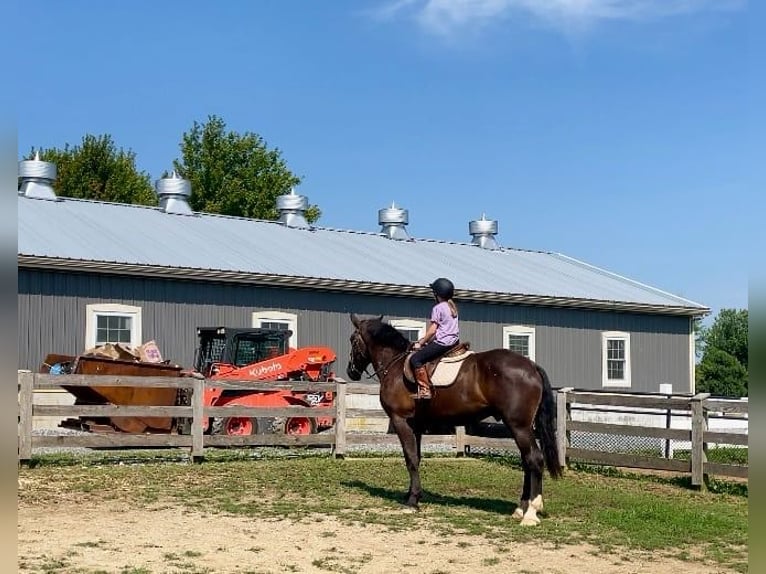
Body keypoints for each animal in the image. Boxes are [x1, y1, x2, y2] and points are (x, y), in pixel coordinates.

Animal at [348, 316, 564, 528]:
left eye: (352, 339)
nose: (351, 372)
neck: (396, 365)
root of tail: (532, 366)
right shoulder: (416, 425)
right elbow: (417, 458)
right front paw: (413, 494)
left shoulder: (401, 421)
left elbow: (410, 459)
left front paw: (412, 501)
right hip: (520, 427)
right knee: (526, 461)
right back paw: (520, 509)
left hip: (519, 427)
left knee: (534, 459)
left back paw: (531, 513)